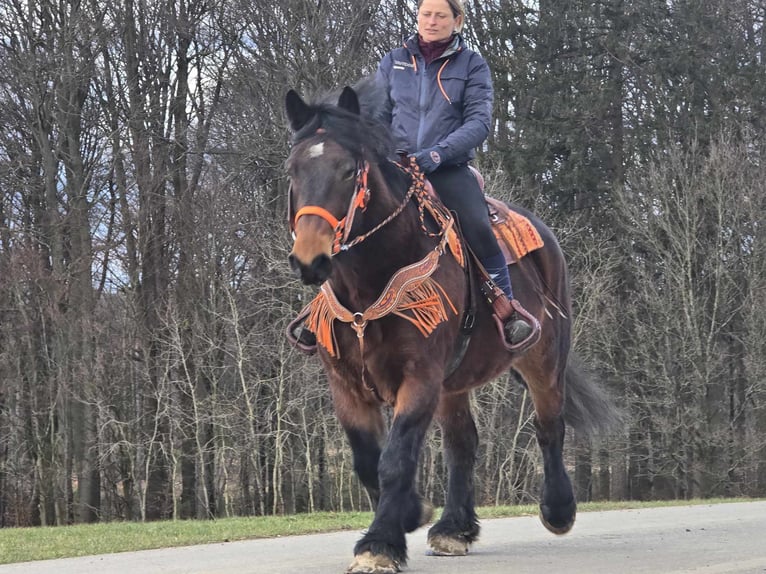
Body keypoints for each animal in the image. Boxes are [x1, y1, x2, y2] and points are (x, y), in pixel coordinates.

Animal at [284, 82, 620, 574]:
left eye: (348, 171)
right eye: (293, 170)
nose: (311, 259)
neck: (371, 284)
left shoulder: (420, 376)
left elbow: (395, 459)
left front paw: (379, 544)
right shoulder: (346, 383)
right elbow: (367, 460)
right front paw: (410, 514)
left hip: (544, 358)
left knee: (549, 426)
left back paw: (558, 510)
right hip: (454, 384)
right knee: (463, 442)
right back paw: (453, 528)